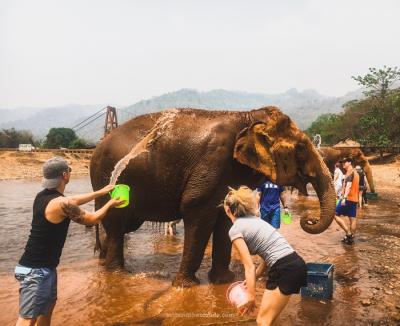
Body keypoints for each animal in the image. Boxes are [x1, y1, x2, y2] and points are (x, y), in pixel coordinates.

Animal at [89, 105, 336, 286]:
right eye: (301, 147)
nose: (308, 219)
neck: (248, 116)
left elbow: (225, 219)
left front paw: (224, 280)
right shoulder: (212, 163)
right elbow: (196, 210)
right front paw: (185, 286)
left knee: (122, 226)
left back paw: (104, 263)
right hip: (106, 179)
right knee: (116, 226)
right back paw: (118, 273)